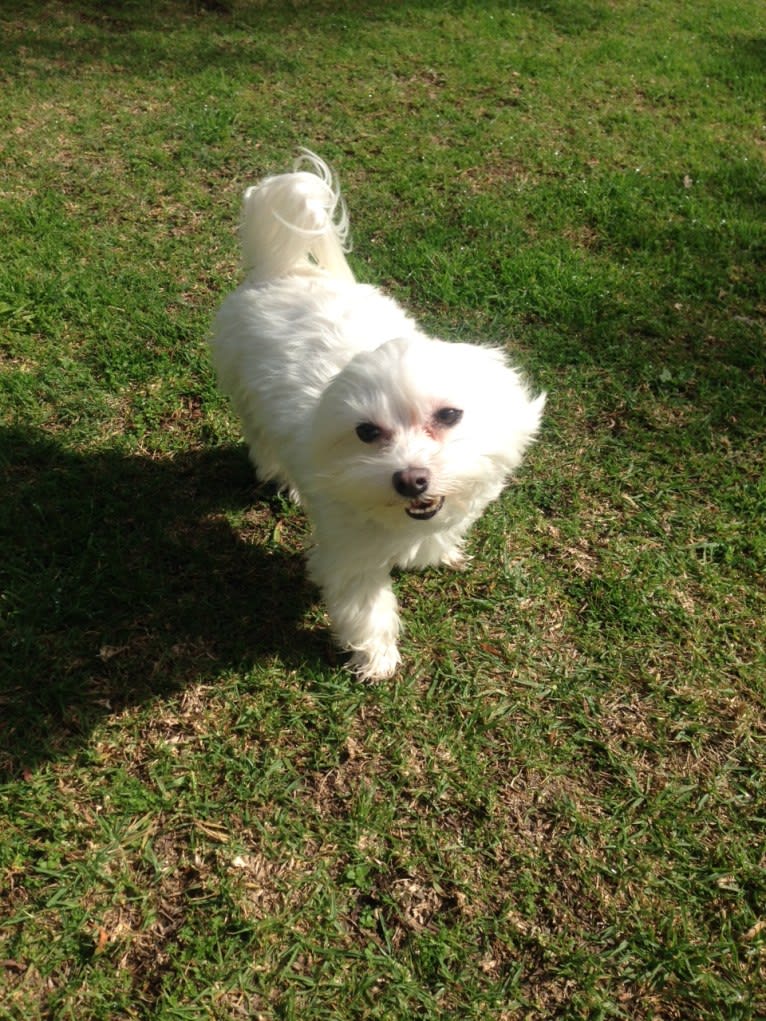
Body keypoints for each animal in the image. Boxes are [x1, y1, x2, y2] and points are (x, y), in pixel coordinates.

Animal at [210, 149, 547, 677]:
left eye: (449, 415)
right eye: (366, 433)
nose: (410, 479)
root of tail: (282, 270)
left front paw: (437, 551)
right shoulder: (350, 554)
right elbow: (365, 606)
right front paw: (376, 658)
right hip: (246, 397)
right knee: (263, 442)